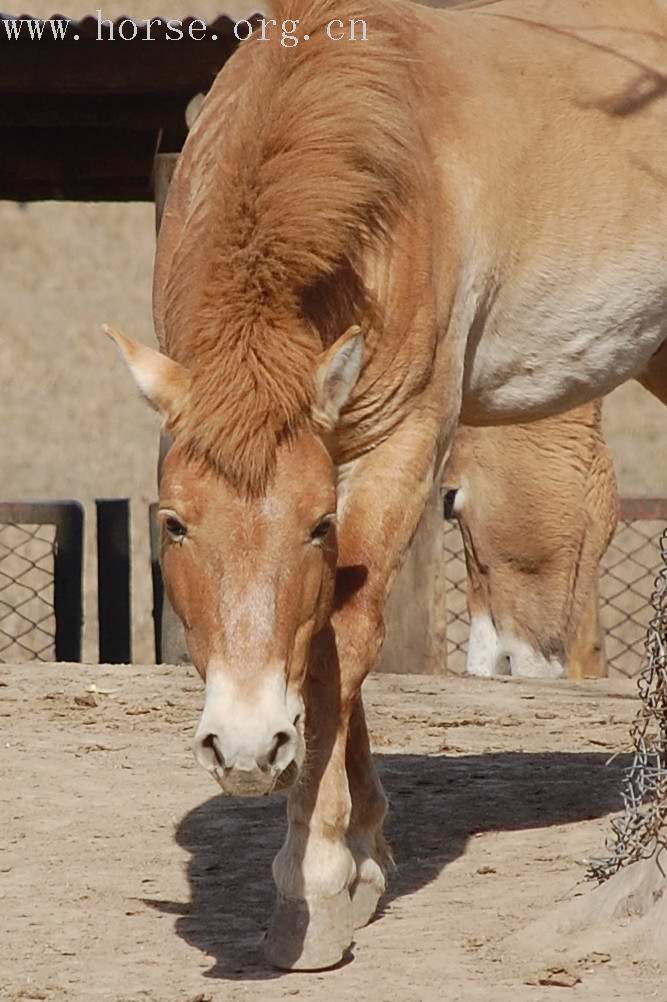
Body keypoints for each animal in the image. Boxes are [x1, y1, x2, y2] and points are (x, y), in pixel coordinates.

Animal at [104, 0, 664, 969]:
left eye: (314, 526)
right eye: (173, 525)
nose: (245, 750)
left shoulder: (401, 443)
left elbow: (341, 640)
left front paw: (318, 879)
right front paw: (363, 852)